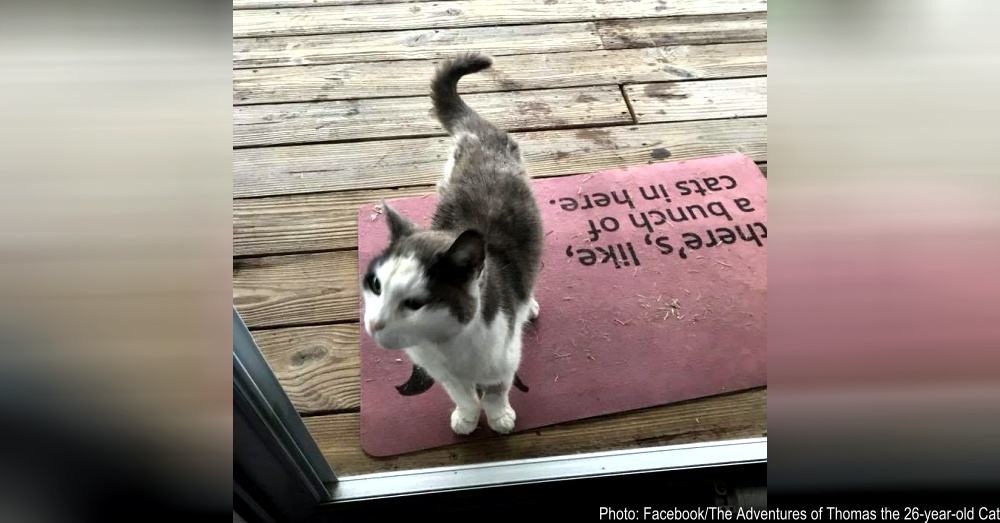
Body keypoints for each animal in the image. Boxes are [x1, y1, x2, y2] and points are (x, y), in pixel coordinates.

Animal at [362, 53, 544, 436]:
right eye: (375, 285)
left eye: (415, 303)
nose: (374, 325)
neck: (444, 346)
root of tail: (479, 133)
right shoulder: (442, 374)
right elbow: (461, 394)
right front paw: (467, 417)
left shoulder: (503, 360)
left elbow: (495, 391)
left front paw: (499, 418)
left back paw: (529, 305)